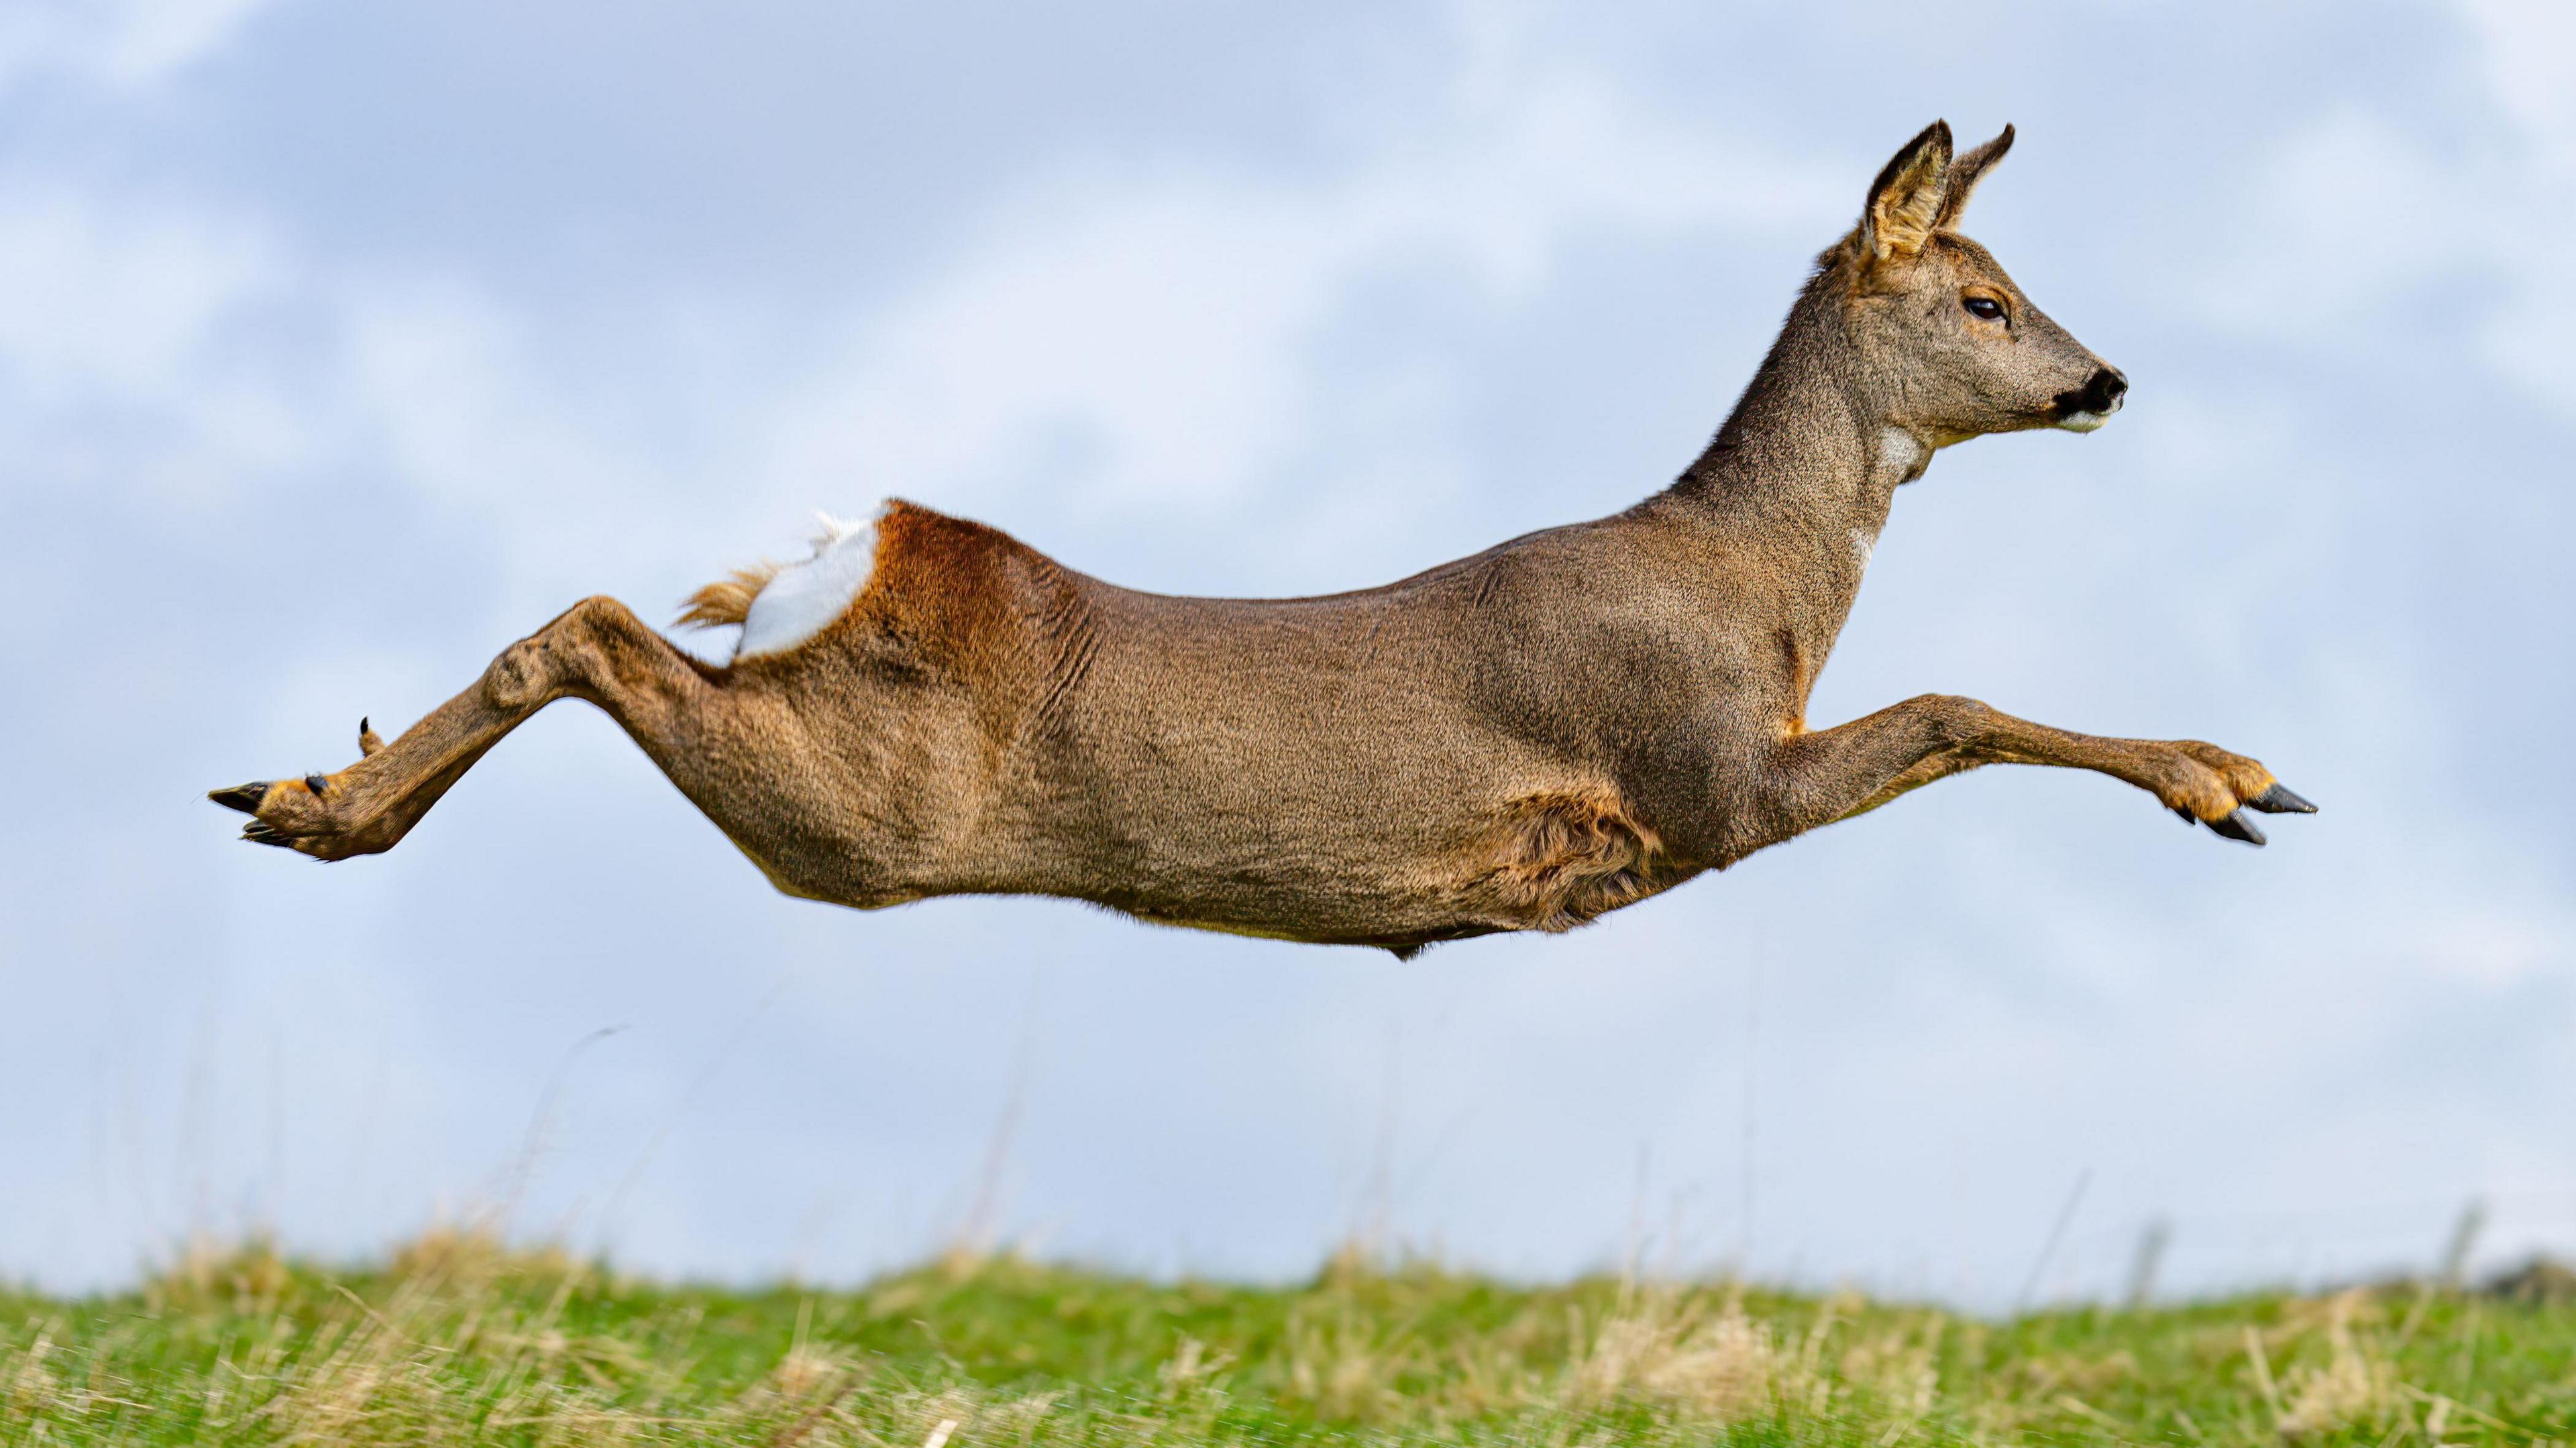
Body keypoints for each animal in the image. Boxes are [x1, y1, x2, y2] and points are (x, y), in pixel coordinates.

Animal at [216, 123, 2318, 953]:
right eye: (1978, 299)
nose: (2104, 378)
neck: (1760, 600)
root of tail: (854, 542)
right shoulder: (1701, 777)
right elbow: (1958, 703)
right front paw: (2232, 778)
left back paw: (296, 787)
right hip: (867, 809)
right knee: (586, 623)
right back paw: (318, 804)